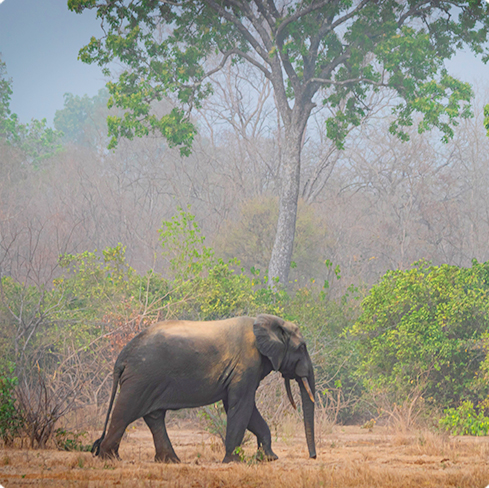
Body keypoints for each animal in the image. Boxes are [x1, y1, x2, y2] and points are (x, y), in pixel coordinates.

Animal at [91, 314, 316, 464]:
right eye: (302, 347)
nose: (313, 457)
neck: (267, 321)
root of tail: (122, 356)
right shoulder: (246, 364)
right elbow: (240, 405)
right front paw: (233, 461)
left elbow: (244, 407)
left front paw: (269, 458)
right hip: (141, 377)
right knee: (125, 412)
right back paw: (109, 458)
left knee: (154, 416)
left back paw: (171, 461)